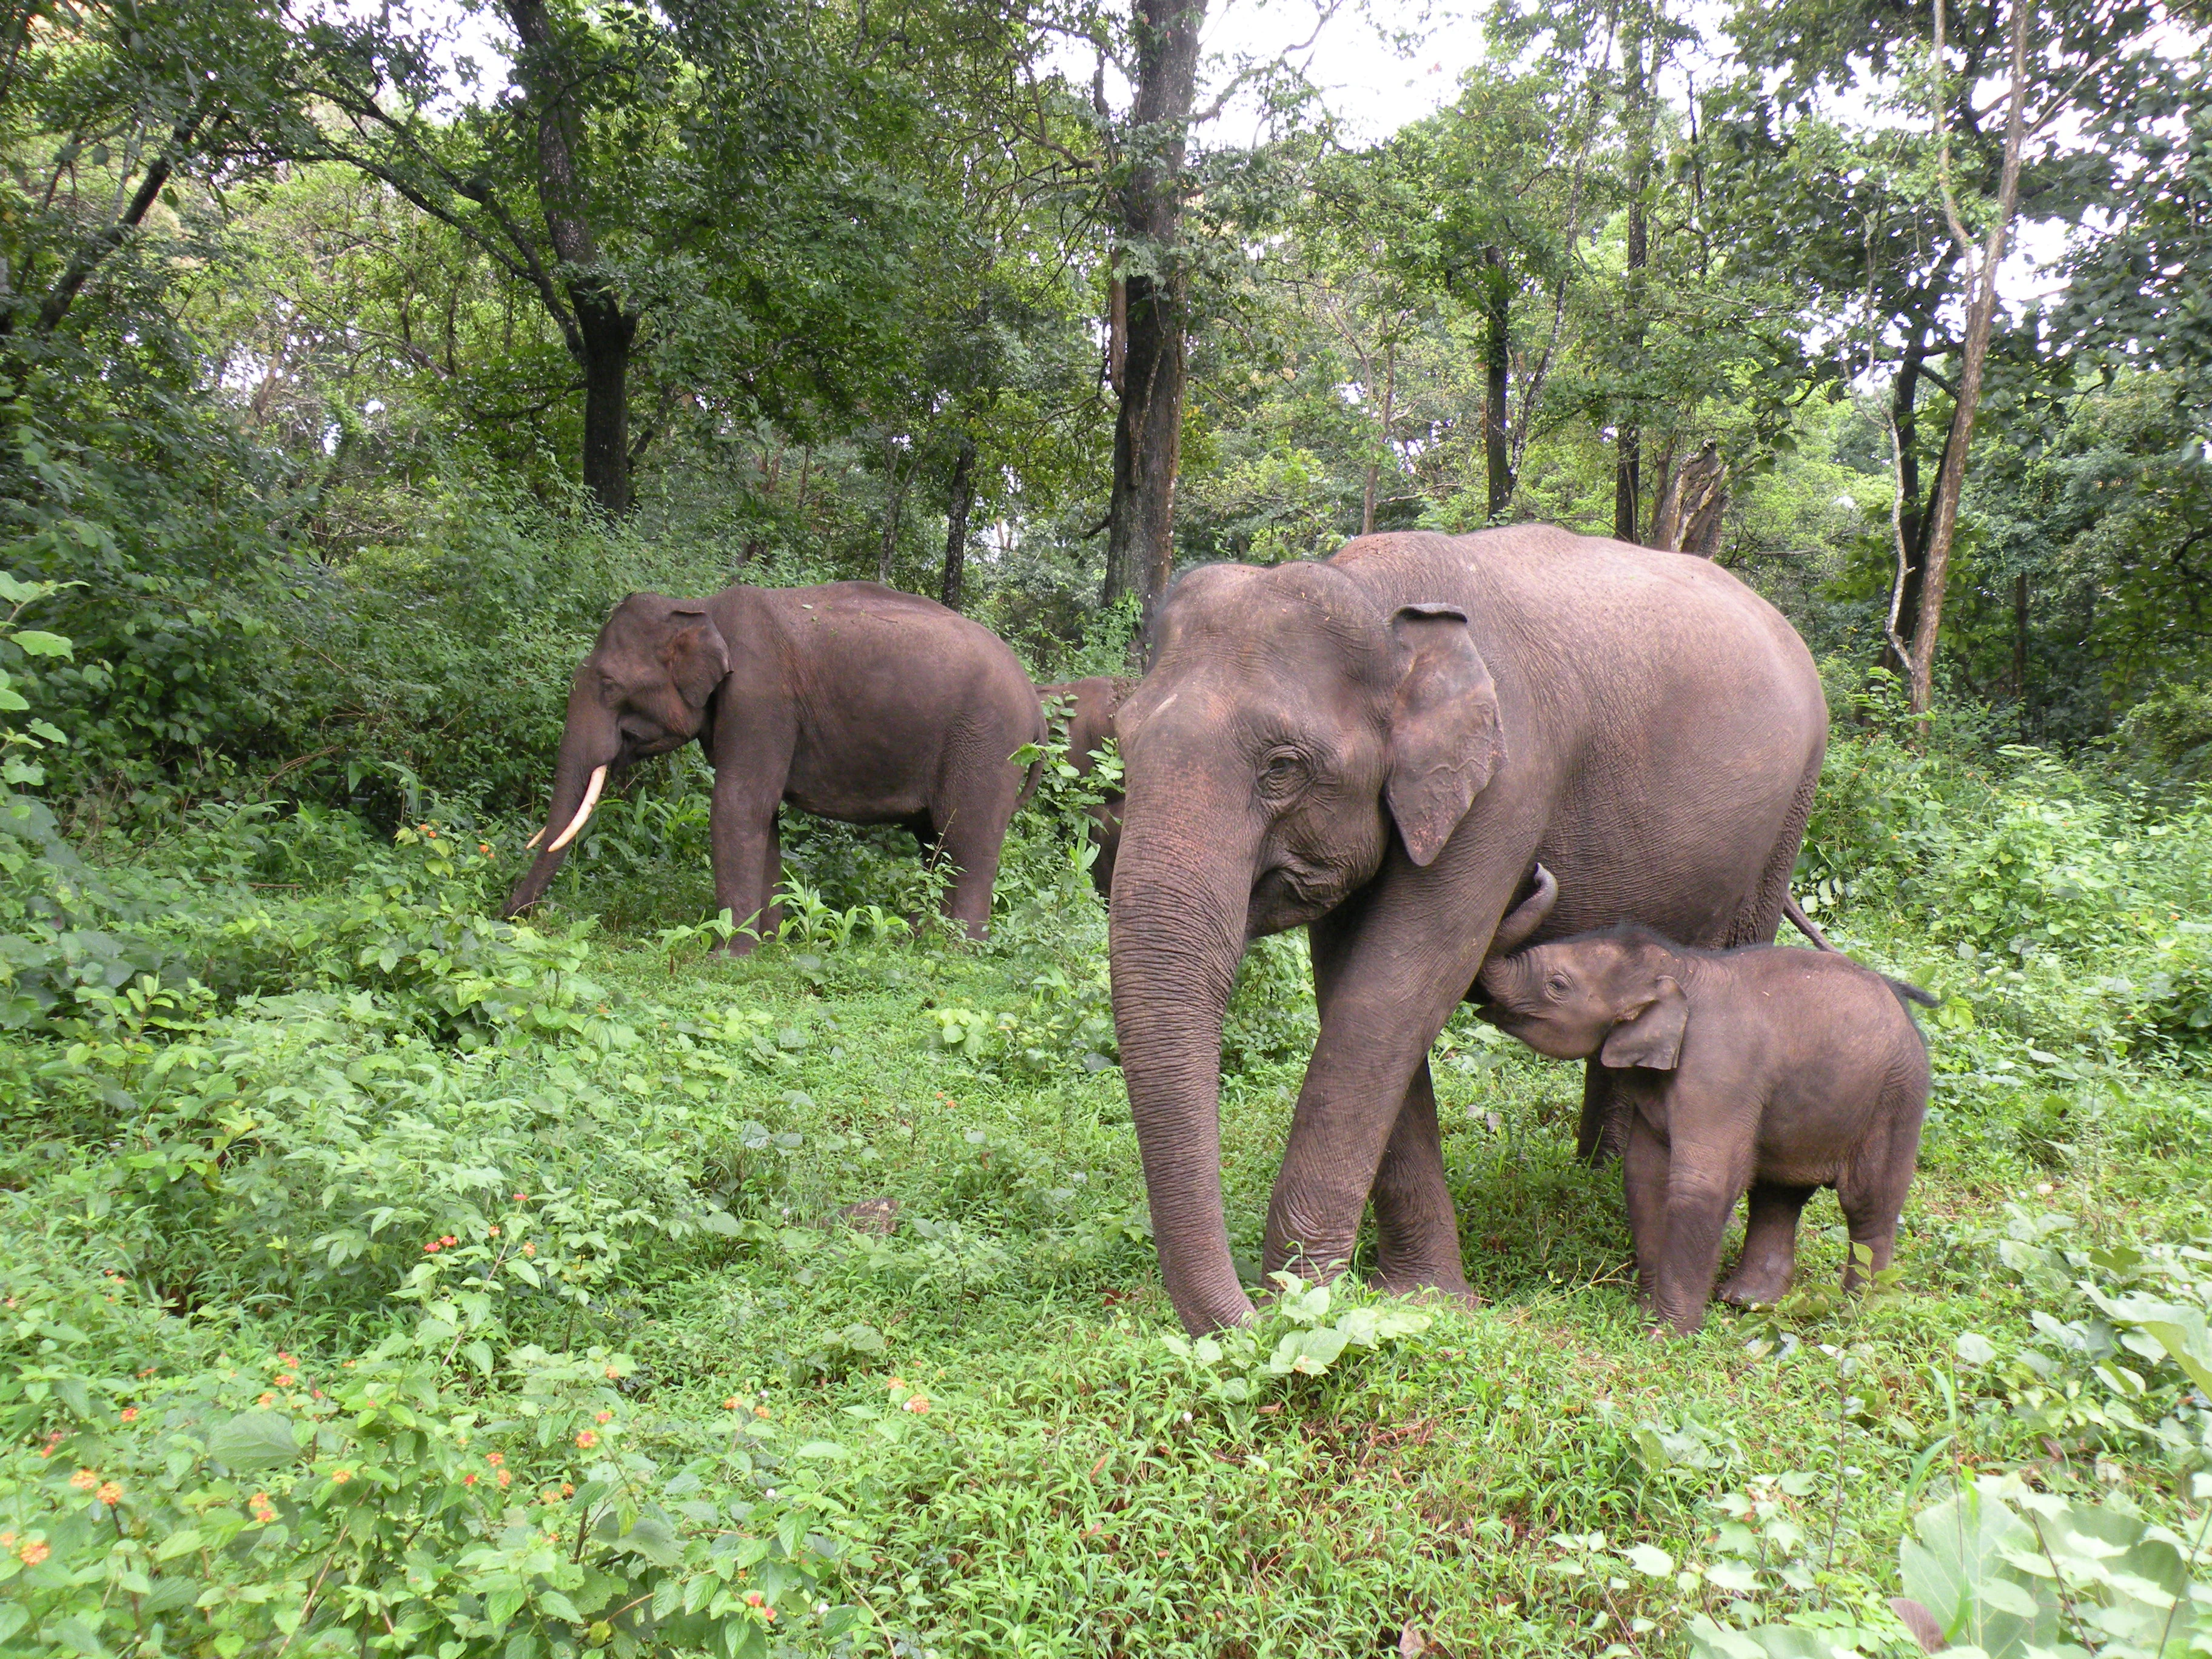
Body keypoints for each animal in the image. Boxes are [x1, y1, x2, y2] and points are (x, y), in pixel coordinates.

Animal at [504, 582, 1044, 950]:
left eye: (610, 685)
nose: (507, 915)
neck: (700, 605)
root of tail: (1036, 703)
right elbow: (762, 819)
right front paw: (765, 944)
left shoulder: (760, 698)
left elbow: (737, 805)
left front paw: (726, 956)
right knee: (936, 841)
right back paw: (918, 940)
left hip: (987, 745)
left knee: (967, 837)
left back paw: (957, 950)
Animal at [1105, 527, 1833, 1335]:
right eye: (1122, 745)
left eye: (1283, 768)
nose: (1254, 1313)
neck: (1377, 595)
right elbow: (1356, 990)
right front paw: (1416, 1300)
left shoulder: (1506, 787)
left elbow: (1393, 993)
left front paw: (1311, 1304)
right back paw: (1599, 1171)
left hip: (1790, 808)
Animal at [1476, 912, 1932, 1334]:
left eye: (1557, 984)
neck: (1682, 967)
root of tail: (1897, 996)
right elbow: (1645, 1175)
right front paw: (1644, 1315)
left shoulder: (1719, 1072)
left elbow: (1702, 1185)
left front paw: (1666, 1336)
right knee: (1778, 1193)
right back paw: (1749, 1302)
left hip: (1897, 1094)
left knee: (1869, 1200)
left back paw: (1858, 1313)